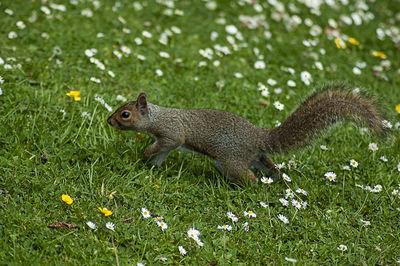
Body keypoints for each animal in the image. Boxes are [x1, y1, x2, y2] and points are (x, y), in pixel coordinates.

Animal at [107, 84, 384, 184]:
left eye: (125, 114)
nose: (108, 120)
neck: (157, 117)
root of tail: (259, 137)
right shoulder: (166, 143)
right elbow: (161, 154)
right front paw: (151, 166)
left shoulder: (172, 134)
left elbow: (165, 144)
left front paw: (145, 153)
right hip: (256, 157)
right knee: (270, 167)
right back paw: (278, 180)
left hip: (231, 160)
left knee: (248, 176)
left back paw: (244, 187)